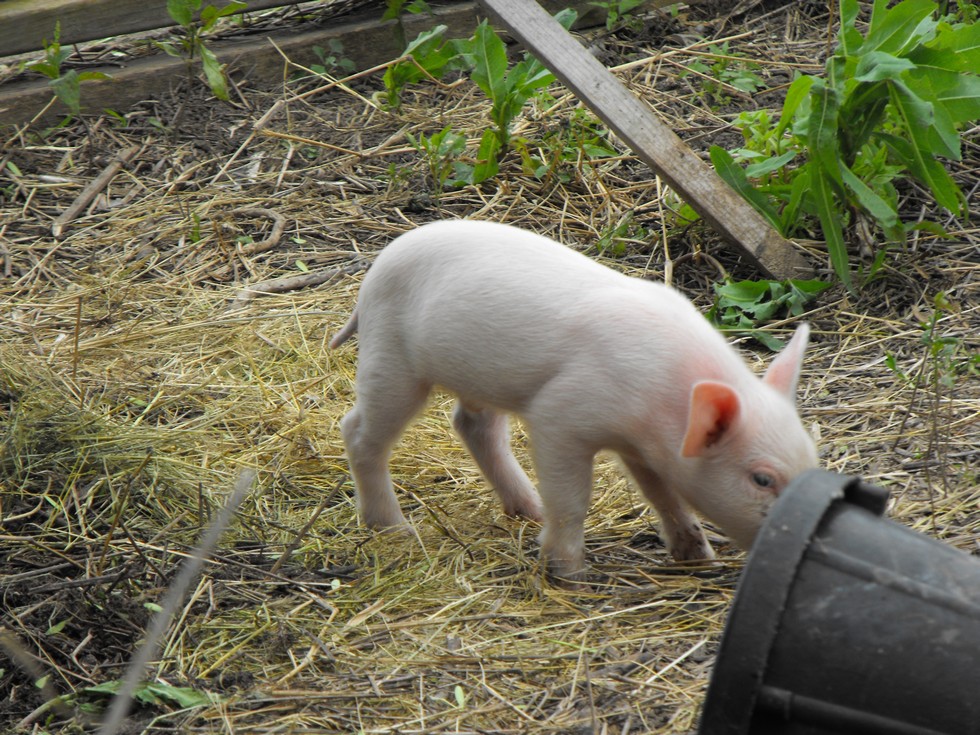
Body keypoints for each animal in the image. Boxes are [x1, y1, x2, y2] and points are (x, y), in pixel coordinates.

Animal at [331, 219, 817, 582]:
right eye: (761, 479)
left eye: (811, 459)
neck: (660, 407)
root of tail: (376, 269)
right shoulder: (560, 417)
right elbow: (572, 500)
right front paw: (569, 573)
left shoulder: (641, 447)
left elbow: (662, 494)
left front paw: (697, 557)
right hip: (391, 359)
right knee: (357, 431)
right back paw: (395, 528)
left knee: (473, 427)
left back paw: (527, 510)